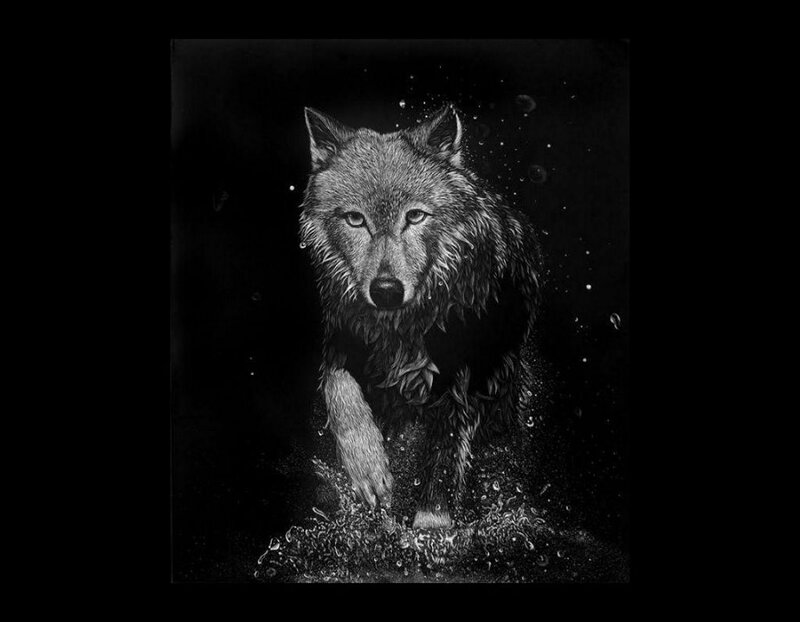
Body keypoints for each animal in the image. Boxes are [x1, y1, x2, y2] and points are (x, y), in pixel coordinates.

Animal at [299, 104, 542, 530]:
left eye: (414, 217)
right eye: (355, 219)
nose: (386, 290)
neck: (402, 329)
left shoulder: (456, 383)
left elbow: (442, 459)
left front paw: (432, 527)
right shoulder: (341, 341)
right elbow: (338, 390)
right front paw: (368, 469)